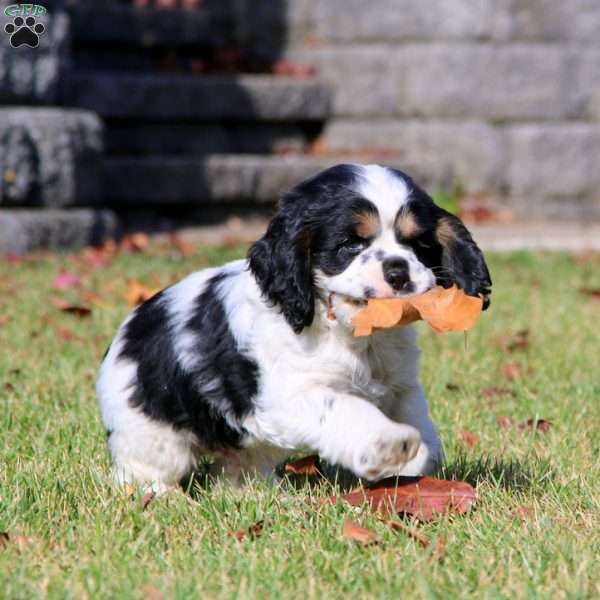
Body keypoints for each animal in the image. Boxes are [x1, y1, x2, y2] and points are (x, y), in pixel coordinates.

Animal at [98, 164, 490, 492]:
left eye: (418, 244)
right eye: (350, 244)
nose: (398, 271)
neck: (351, 332)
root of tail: (123, 335)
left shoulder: (400, 384)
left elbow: (415, 416)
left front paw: (420, 455)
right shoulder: (291, 393)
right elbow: (345, 408)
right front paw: (389, 445)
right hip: (150, 431)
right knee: (144, 468)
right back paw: (158, 495)